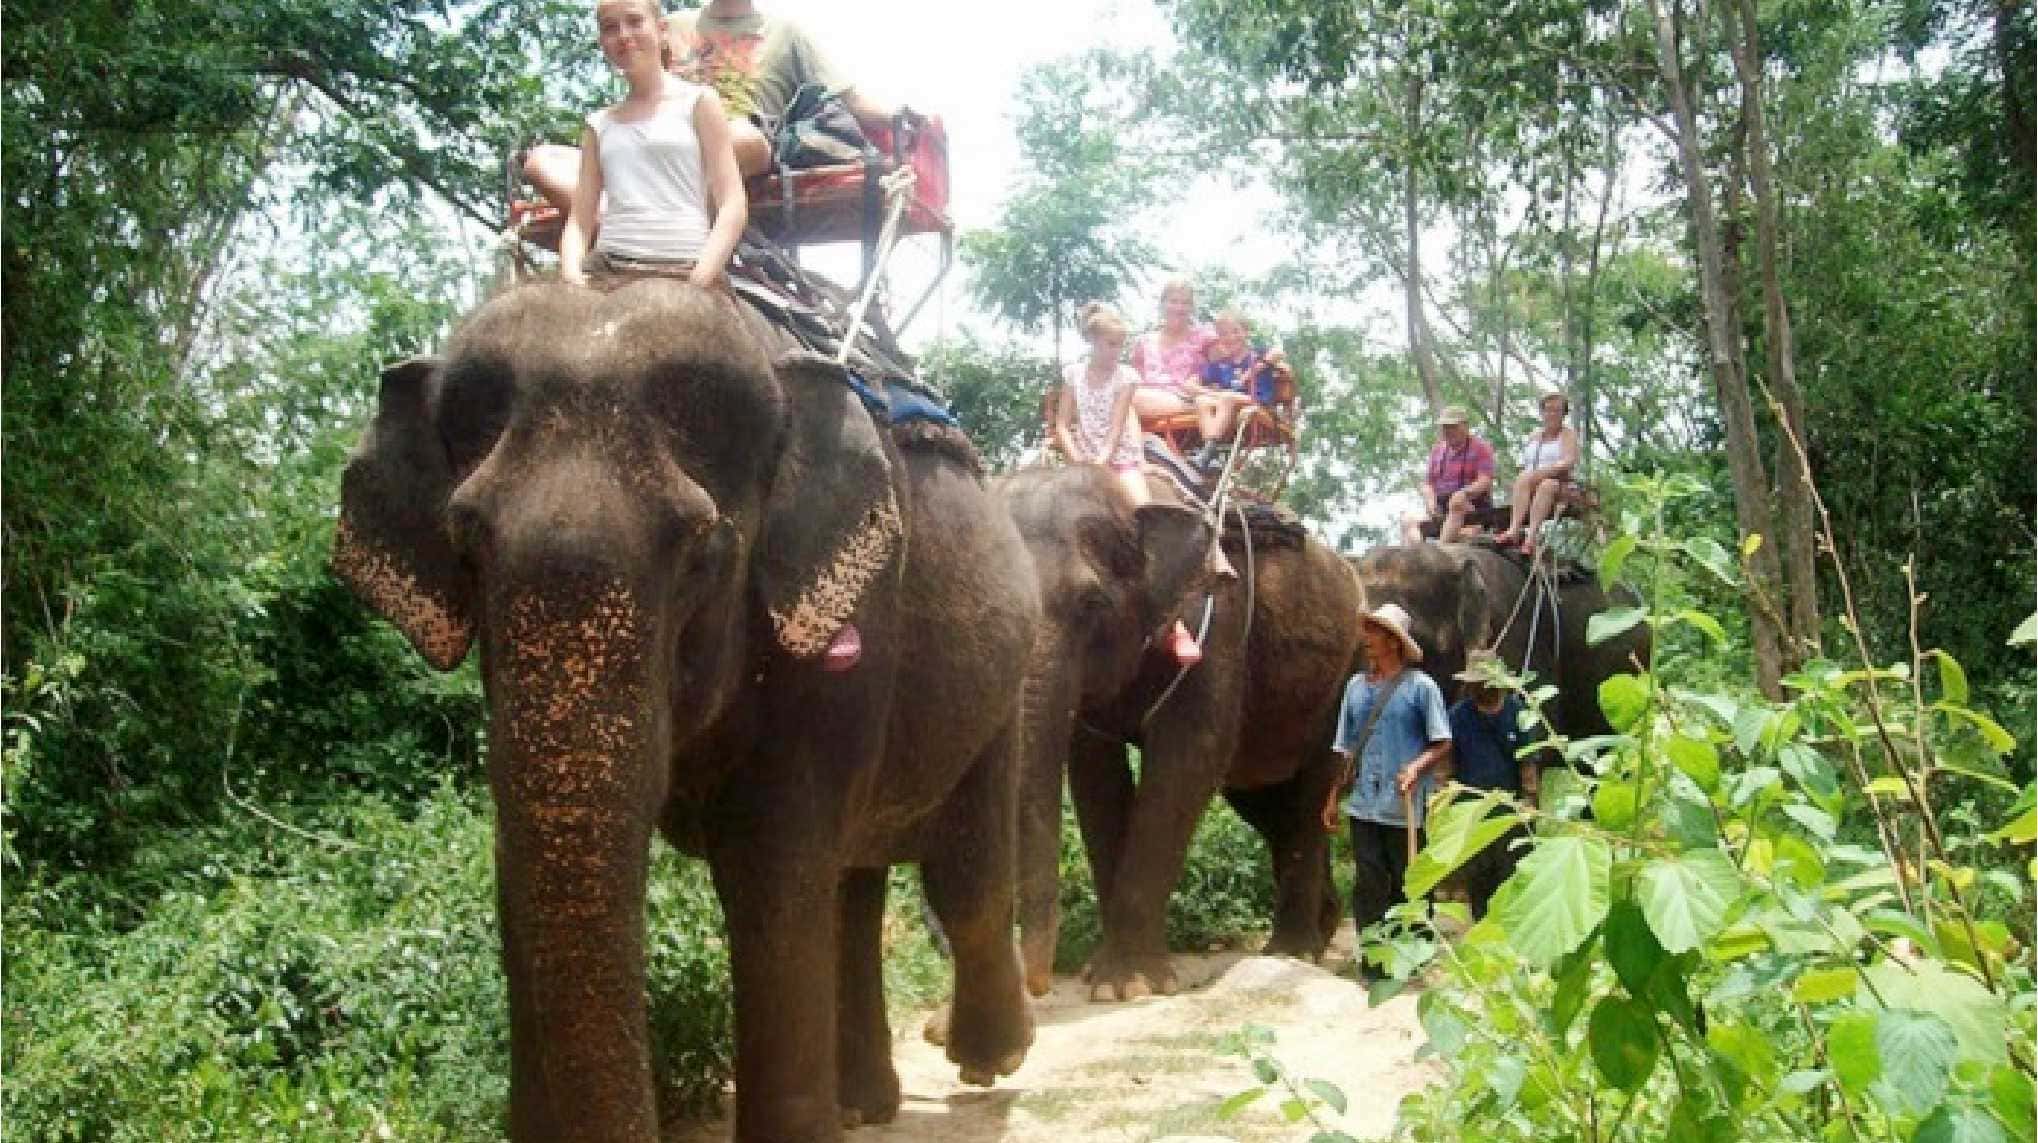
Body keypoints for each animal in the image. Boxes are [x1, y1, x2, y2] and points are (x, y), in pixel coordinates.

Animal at [332, 280, 1038, 1142]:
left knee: (962, 881)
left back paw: (989, 1060)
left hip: (1004, 684)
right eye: (465, 545)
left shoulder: (849, 623)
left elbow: (769, 864)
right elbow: (514, 870)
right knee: (855, 886)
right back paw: (867, 1104)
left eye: (702, 549)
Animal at [1001, 465, 1367, 1001]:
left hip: (1345, 680)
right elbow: (1095, 775)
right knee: (1267, 803)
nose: (1037, 987)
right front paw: (1103, 979)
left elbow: (1190, 758)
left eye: (1091, 604)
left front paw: (1128, 985)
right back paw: (1322, 929)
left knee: (1310, 795)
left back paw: (1292, 952)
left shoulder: (1216, 627)